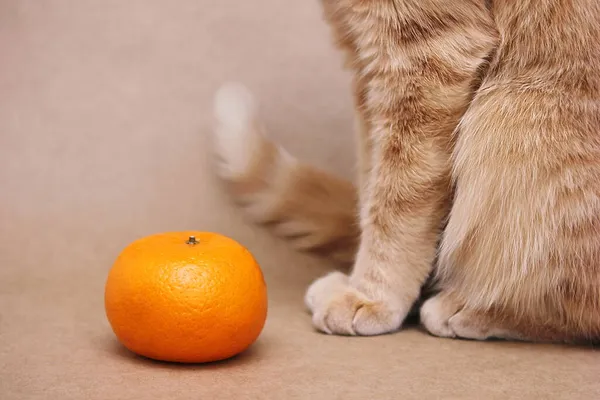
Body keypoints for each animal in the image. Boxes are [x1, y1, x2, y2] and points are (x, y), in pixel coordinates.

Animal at [211, 0, 600, 344]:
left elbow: (395, 205)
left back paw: (477, 310)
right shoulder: (363, 61)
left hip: (513, 121)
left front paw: (371, 295)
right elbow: (371, 188)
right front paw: (370, 284)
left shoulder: (427, 57)